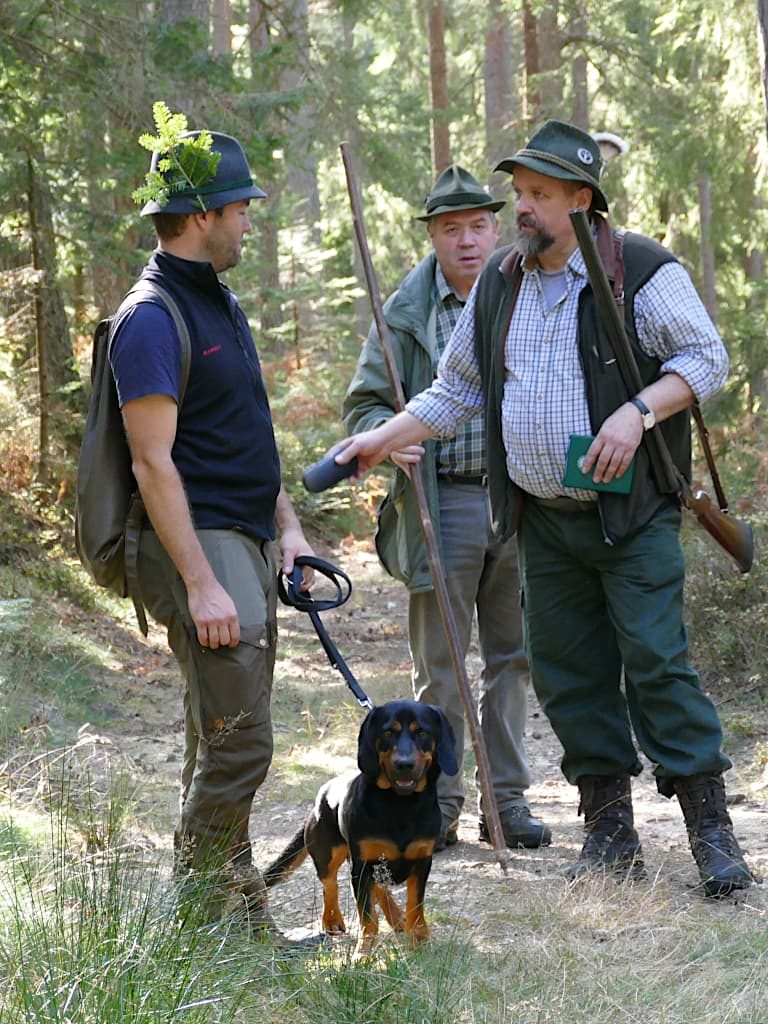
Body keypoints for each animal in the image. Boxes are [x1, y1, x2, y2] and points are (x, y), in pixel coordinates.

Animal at [264, 700, 456, 954]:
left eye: (422, 732)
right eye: (388, 733)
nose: (404, 764)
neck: (401, 805)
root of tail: (321, 795)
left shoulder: (422, 861)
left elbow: (416, 906)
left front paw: (420, 941)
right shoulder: (362, 866)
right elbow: (368, 917)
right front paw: (363, 952)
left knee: (378, 890)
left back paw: (397, 918)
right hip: (327, 852)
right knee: (329, 884)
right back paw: (332, 920)